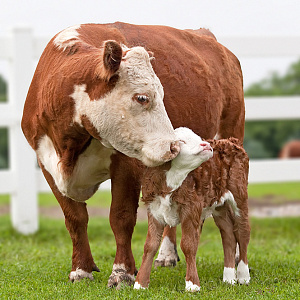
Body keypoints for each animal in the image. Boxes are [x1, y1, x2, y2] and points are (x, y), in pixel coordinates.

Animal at [134, 127, 251, 292]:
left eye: (199, 137)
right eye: (181, 141)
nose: (206, 145)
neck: (170, 183)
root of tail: (230, 141)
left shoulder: (191, 209)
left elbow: (188, 245)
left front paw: (192, 284)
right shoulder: (154, 210)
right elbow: (150, 245)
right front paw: (140, 283)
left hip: (239, 195)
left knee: (243, 231)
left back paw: (243, 275)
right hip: (218, 204)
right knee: (228, 234)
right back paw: (229, 278)